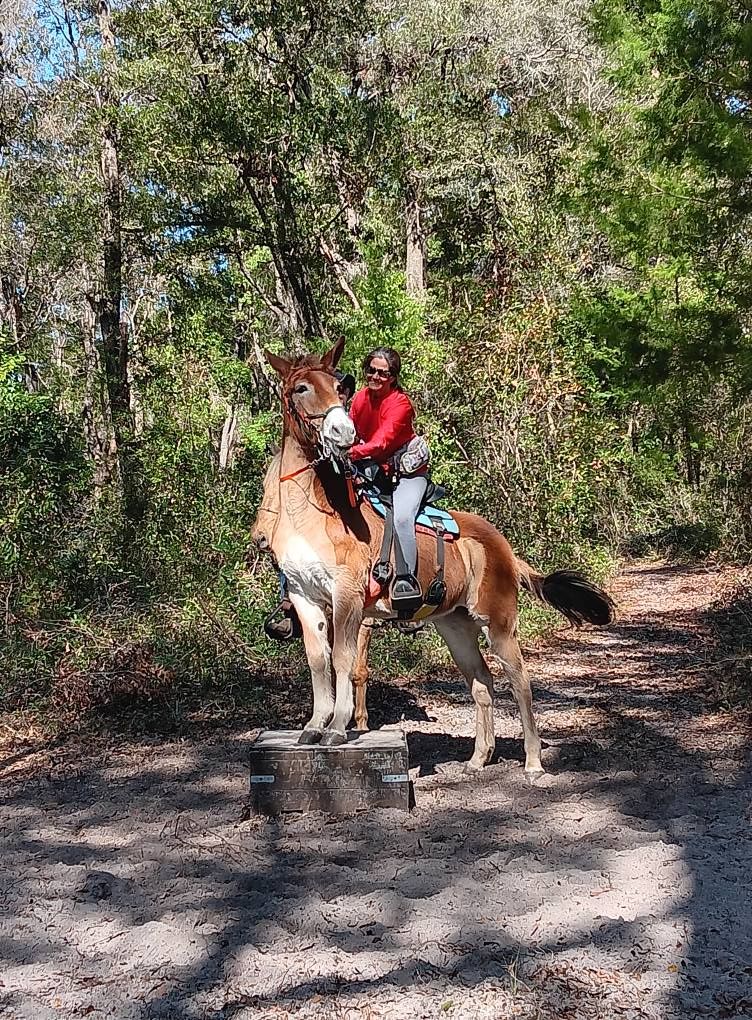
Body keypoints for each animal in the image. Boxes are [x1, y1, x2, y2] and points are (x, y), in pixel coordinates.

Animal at [248, 338, 612, 775]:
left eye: (339, 388)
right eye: (301, 388)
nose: (343, 431)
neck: (315, 512)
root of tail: (504, 547)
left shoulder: (347, 598)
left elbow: (343, 663)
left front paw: (337, 729)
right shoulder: (305, 598)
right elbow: (319, 662)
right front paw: (314, 727)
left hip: (499, 623)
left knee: (520, 681)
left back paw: (532, 761)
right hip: (455, 625)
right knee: (482, 682)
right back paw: (478, 757)